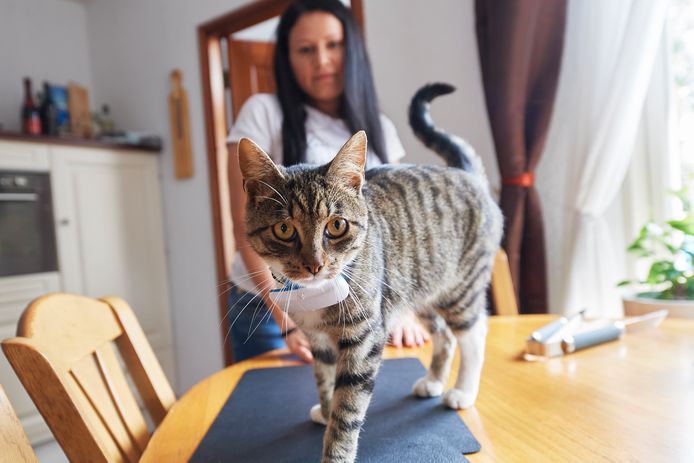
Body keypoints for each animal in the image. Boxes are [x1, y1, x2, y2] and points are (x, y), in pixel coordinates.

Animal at [238, 84, 500, 463]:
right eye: (284, 229)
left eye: (336, 225)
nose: (315, 264)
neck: (317, 295)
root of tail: (467, 175)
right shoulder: (319, 339)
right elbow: (324, 377)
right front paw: (325, 408)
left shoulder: (364, 337)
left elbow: (348, 410)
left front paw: (336, 450)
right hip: (418, 289)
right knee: (444, 335)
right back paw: (434, 381)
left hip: (460, 288)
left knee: (473, 332)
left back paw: (463, 390)